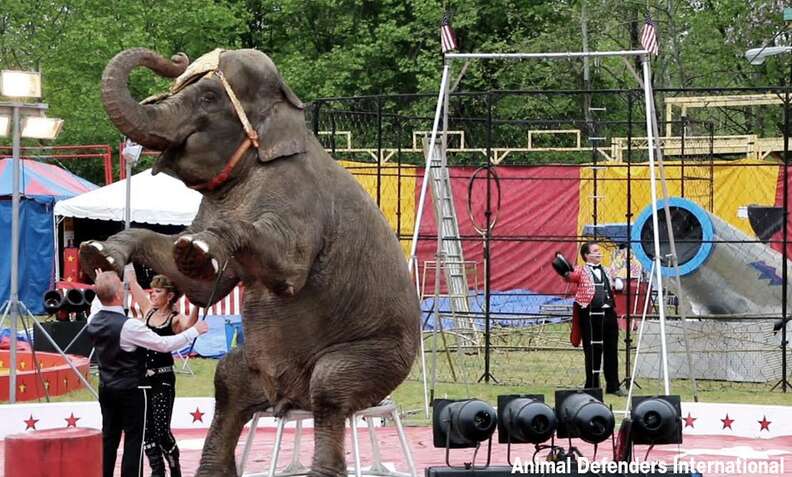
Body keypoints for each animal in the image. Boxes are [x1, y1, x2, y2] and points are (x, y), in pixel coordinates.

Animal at [80, 48, 421, 477]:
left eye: (208, 97)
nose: (176, 58)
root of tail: (291, 402)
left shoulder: (301, 199)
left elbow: (288, 270)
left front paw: (197, 248)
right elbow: (203, 287)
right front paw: (101, 252)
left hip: (382, 358)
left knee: (329, 387)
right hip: (260, 371)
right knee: (228, 382)